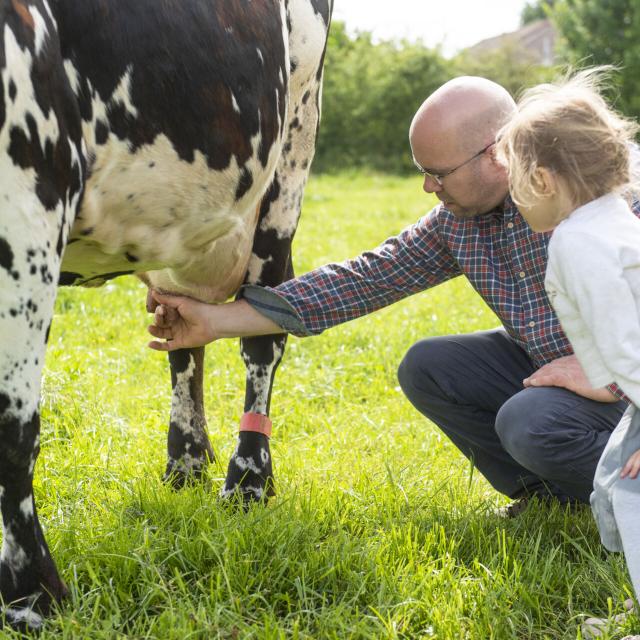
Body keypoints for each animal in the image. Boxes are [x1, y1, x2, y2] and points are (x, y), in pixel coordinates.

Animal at [1, 0, 336, 632]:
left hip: (291, 155)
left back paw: (248, 481)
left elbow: (11, 425)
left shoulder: (30, 195)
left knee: (264, 339)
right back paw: (186, 464)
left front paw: (31, 598)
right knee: (184, 334)